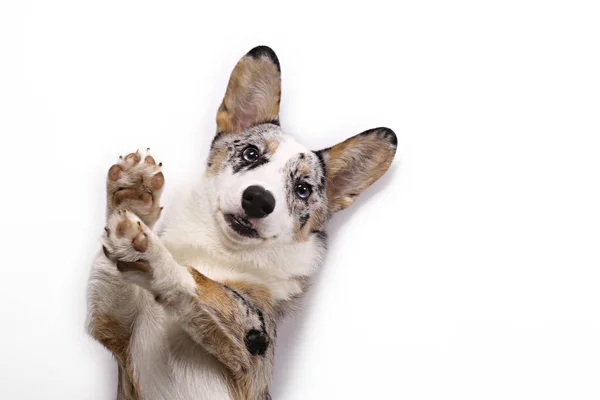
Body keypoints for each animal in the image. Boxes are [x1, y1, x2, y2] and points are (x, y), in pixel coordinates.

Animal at [86, 45, 396, 398]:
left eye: (302, 189)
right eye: (250, 154)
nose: (259, 199)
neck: (221, 252)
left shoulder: (254, 343)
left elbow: (200, 284)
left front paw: (153, 258)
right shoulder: (115, 329)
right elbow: (112, 268)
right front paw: (134, 196)